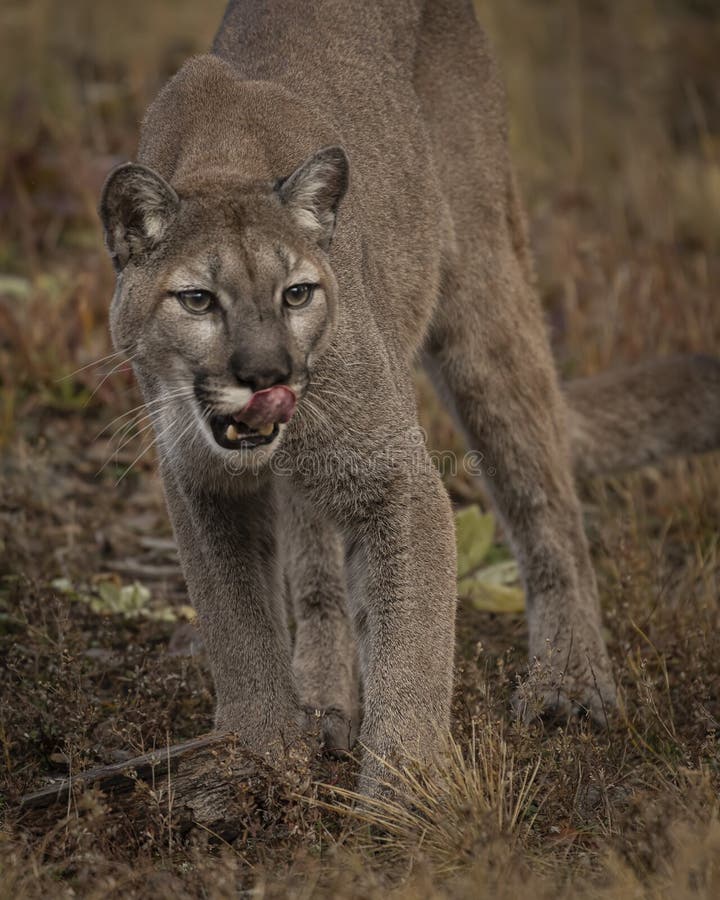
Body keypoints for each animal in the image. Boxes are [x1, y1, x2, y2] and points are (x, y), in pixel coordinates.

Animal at [98, 0, 716, 792]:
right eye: (198, 300)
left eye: (296, 293)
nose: (267, 375)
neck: (222, 158)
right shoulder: (202, 482)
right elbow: (237, 626)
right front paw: (262, 753)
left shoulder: (394, 477)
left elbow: (412, 644)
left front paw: (406, 791)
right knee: (317, 567)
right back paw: (325, 701)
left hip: (483, 295)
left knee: (543, 491)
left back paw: (569, 684)